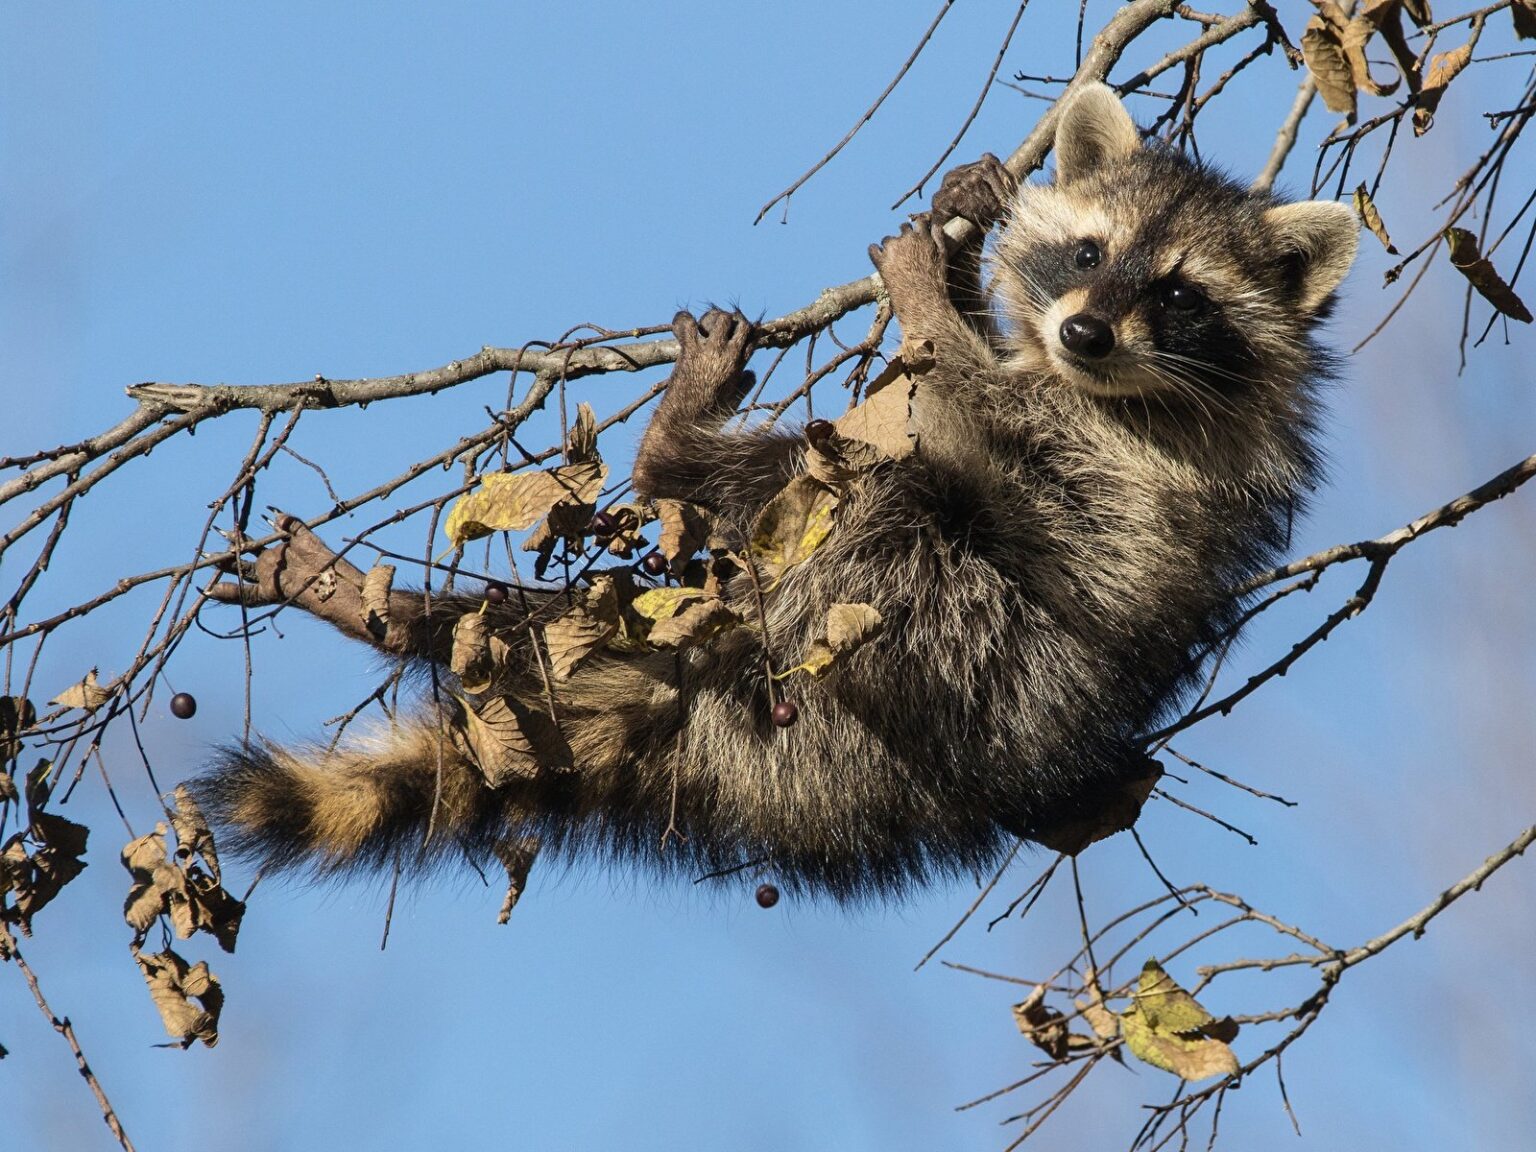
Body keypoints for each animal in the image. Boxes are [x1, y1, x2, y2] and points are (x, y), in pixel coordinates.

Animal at [192, 87, 1357, 903]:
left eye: (1177, 292)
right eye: (1086, 250)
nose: (1082, 330)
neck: (1107, 378)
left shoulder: (1129, 457)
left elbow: (967, 402)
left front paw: (932, 301)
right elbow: (953, 380)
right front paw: (966, 229)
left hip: (947, 648)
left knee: (878, 494)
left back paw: (673, 454)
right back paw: (410, 614)